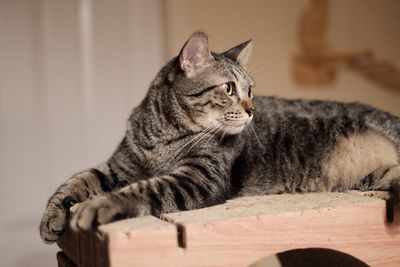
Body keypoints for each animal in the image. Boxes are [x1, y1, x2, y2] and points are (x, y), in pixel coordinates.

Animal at [39, 31, 398, 245]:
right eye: (228, 88)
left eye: (250, 90)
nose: (252, 109)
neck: (161, 136)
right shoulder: (119, 166)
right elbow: (75, 181)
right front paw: (52, 218)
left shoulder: (200, 177)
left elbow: (141, 189)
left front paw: (99, 205)